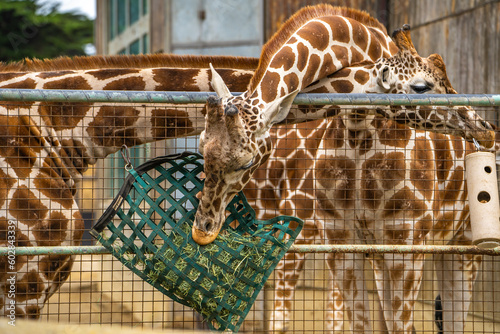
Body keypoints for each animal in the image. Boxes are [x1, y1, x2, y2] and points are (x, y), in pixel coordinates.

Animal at [244, 25, 490, 332]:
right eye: (422, 87)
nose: (483, 127)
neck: (358, 135)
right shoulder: (341, 241)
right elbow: (358, 322)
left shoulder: (407, 242)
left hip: (466, 242)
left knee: (455, 318)